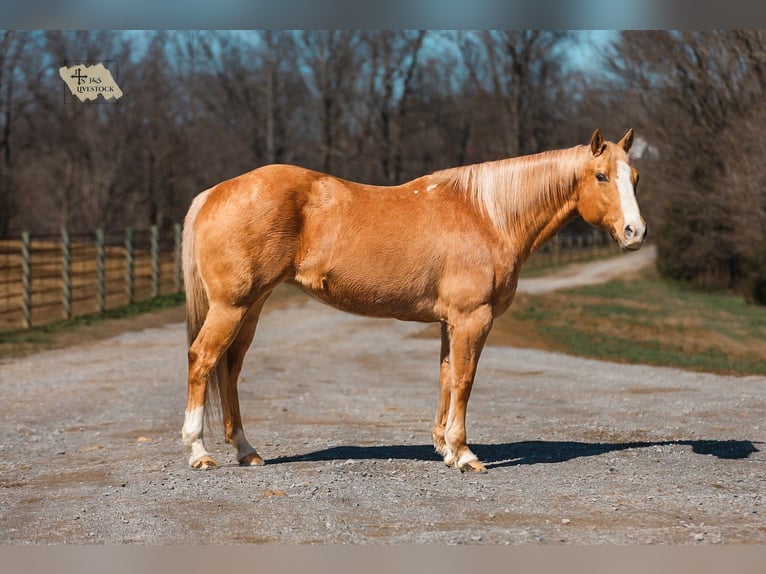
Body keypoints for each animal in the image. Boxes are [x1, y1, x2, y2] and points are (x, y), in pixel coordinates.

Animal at [181, 128, 646, 473]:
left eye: (636, 177)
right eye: (601, 176)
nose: (635, 232)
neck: (488, 215)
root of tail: (213, 193)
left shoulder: (449, 322)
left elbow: (446, 378)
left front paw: (445, 448)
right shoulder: (473, 319)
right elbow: (464, 380)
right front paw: (465, 454)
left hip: (251, 306)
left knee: (230, 368)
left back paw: (246, 450)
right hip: (232, 306)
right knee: (203, 360)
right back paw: (199, 452)